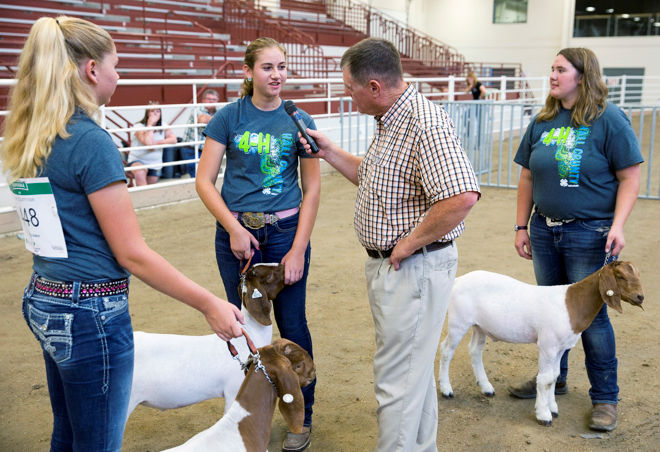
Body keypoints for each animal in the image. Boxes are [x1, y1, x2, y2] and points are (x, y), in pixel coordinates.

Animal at [438, 260, 644, 426]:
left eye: (637, 274)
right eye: (620, 276)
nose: (640, 297)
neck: (571, 303)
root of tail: (458, 280)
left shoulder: (560, 348)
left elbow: (554, 375)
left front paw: (552, 407)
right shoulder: (548, 345)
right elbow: (544, 379)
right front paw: (543, 415)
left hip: (479, 326)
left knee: (474, 350)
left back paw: (486, 387)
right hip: (458, 321)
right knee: (446, 351)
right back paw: (447, 390)